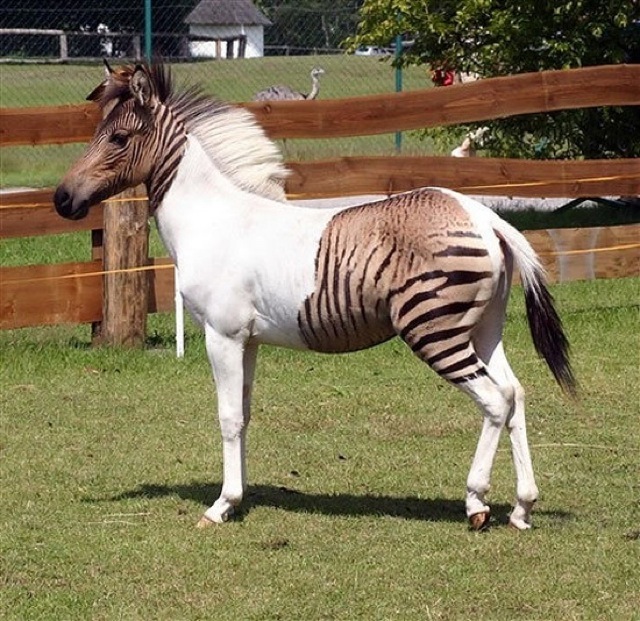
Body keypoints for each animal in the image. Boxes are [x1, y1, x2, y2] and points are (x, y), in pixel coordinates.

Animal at [54, 62, 575, 530]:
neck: (212, 219)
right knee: (515, 394)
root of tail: (485, 216)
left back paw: (476, 502)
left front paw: (222, 506)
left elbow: (227, 417)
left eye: (118, 139)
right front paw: (240, 498)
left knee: (494, 399)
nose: (61, 199)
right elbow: (245, 413)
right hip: (483, 329)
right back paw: (523, 507)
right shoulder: (249, 340)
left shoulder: (222, 336)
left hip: (435, 329)